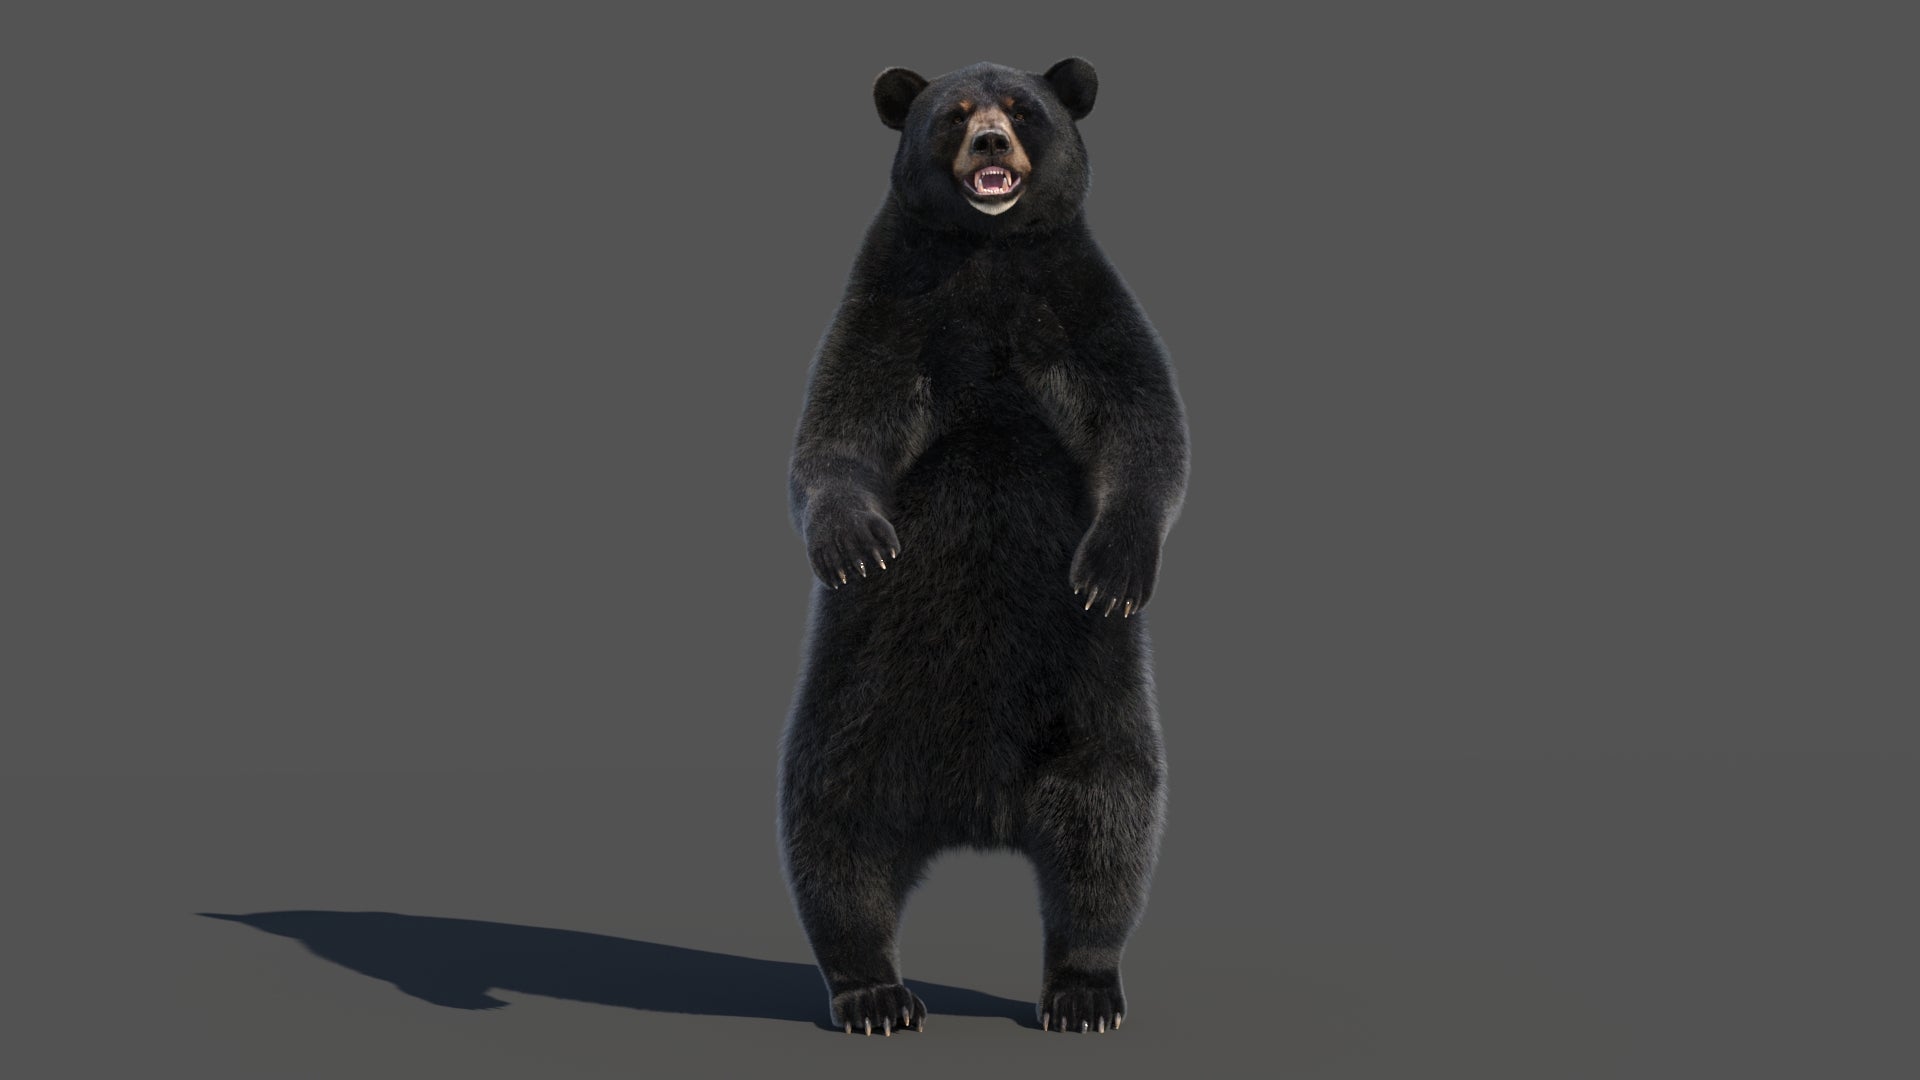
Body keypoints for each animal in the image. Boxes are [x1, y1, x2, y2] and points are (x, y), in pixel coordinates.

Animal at [778, 58, 1189, 1036]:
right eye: (955, 112)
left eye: (1025, 109)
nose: (992, 142)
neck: (986, 255)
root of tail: (978, 812)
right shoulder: (893, 311)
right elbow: (835, 429)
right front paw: (856, 545)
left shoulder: (1079, 307)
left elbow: (1145, 421)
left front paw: (1111, 572)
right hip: (854, 720)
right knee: (832, 830)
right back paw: (874, 992)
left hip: (1091, 714)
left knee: (1110, 827)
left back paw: (1083, 989)